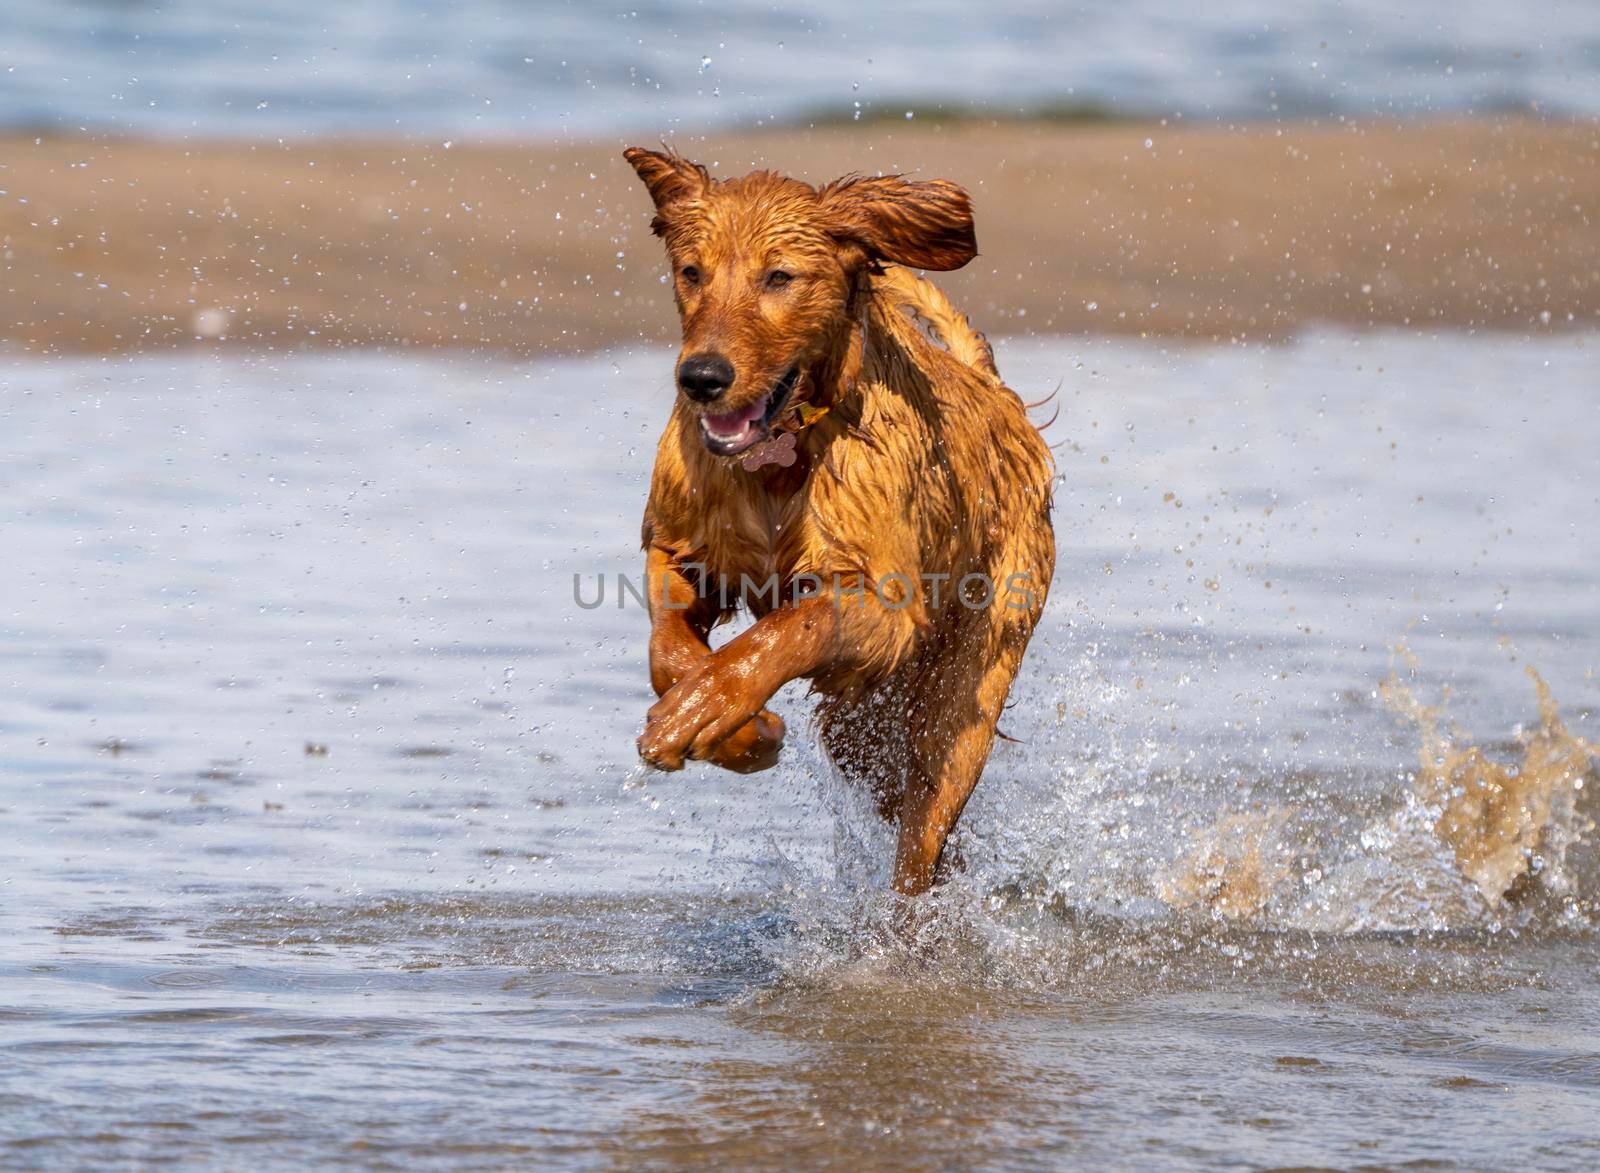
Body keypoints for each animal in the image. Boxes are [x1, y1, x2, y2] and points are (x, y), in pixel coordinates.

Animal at [627, 148, 1062, 896]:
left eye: (779, 277)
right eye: (692, 272)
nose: (702, 377)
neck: (778, 459)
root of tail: (1000, 398)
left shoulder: (884, 606)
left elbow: (790, 628)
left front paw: (711, 707)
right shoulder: (683, 548)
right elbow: (668, 645)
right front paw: (734, 729)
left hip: (965, 689)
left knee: (923, 831)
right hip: (863, 729)